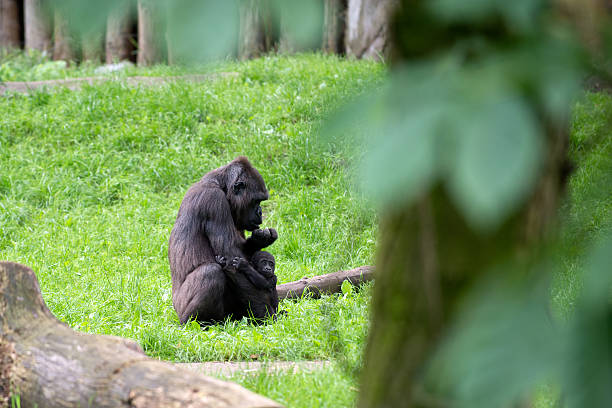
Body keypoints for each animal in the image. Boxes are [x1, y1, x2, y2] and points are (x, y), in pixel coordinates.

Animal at [167, 157, 278, 326]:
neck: (220, 184)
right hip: (181, 309)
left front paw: (260, 240)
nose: (260, 212)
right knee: (211, 272)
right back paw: (198, 323)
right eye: (256, 201)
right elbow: (231, 257)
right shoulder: (214, 200)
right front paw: (266, 316)